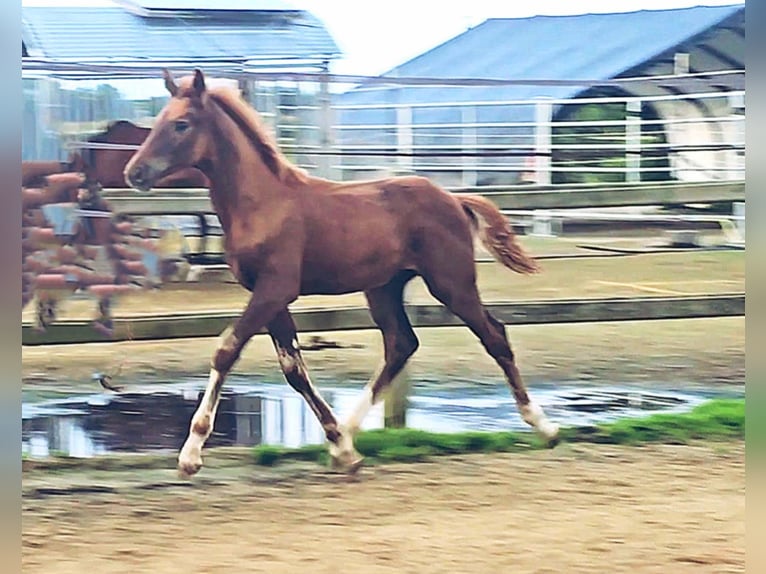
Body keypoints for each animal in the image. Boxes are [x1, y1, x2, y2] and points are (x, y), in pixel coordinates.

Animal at [125, 68, 560, 478]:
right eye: (160, 119)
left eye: (181, 124)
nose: (135, 172)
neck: (262, 203)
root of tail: (453, 198)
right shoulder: (272, 296)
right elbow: (293, 369)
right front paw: (340, 445)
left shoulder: (275, 288)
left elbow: (226, 349)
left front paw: (191, 454)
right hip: (383, 288)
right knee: (401, 344)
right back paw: (349, 434)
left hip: (451, 283)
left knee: (494, 336)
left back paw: (544, 426)